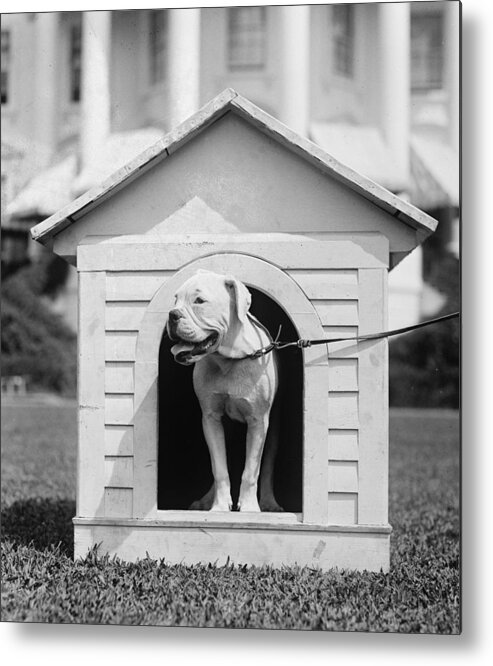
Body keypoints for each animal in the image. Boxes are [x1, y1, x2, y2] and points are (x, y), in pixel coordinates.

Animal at [165, 268, 280, 510]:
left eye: (199, 301)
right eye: (175, 299)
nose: (172, 314)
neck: (228, 360)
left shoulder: (258, 421)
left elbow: (251, 471)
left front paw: (249, 508)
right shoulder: (210, 418)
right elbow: (219, 468)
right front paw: (218, 507)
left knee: (266, 465)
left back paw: (268, 502)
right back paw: (206, 501)